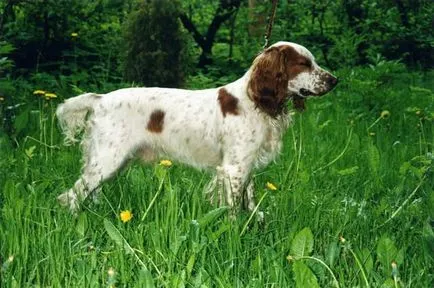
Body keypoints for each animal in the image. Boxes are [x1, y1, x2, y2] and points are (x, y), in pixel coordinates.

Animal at [56, 42, 338, 214]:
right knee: (72, 194)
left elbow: (249, 203)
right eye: (303, 63)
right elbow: (232, 209)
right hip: (107, 159)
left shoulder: (245, 166)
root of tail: (100, 99)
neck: (254, 100)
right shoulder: (233, 169)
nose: (335, 80)